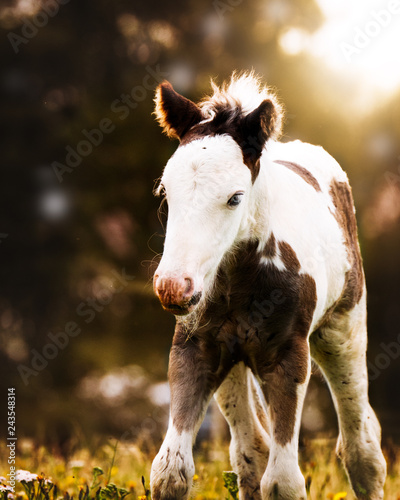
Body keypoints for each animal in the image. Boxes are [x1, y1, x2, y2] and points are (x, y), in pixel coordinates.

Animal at [148, 72, 386, 498]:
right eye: (165, 192)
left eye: (235, 197)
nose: (173, 287)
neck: (237, 279)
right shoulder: (195, 347)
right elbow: (170, 471)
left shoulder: (287, 355)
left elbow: (284, 482)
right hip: (234, 359)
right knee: (251, 448)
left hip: (342, 331)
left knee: (362, 448)